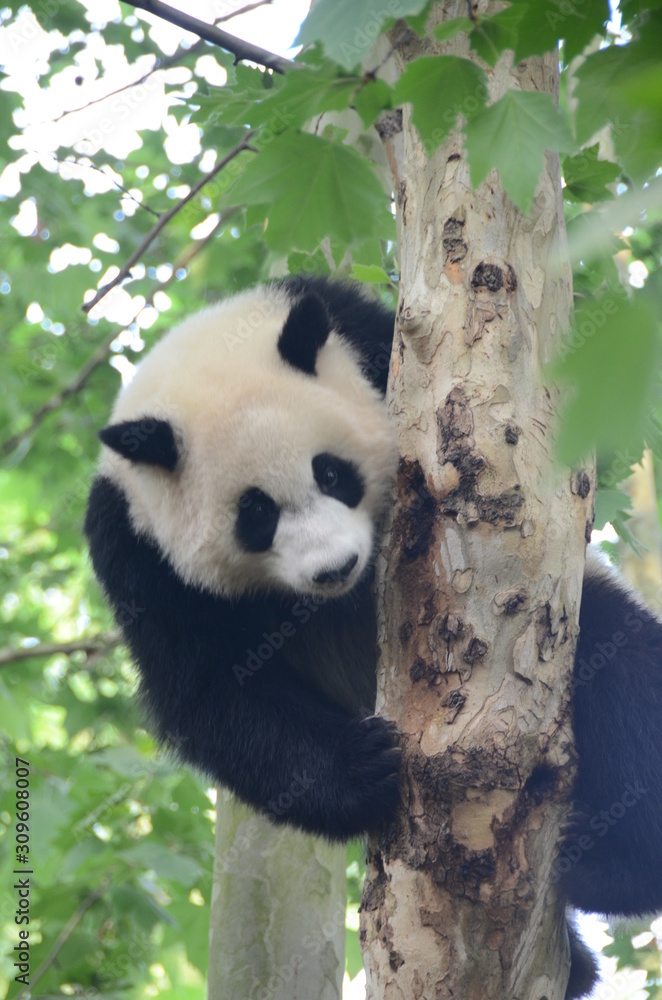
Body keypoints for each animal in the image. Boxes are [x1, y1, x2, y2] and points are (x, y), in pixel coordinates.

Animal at [85, 275, 662, 998]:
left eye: (331, 473)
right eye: (255, 515)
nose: (335, 568)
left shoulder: (365, 334)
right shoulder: (138, 553)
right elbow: (210, 694)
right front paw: (362, 768)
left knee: (628, 683)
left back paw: (612, 869)